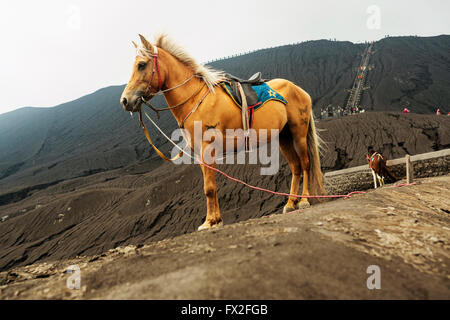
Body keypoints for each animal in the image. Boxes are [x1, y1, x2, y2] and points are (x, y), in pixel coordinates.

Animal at [119, 34, 324, 230]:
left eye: (141, 64)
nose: (125, 100)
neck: (195, 99)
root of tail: (299, 89)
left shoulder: (207, 148)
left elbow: (209, 187)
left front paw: (209, 221)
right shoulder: (200, 153)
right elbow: (210, 186)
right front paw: (215, 220)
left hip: (298, 133)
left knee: (305, 164)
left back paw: (304, 200)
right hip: (283, 137)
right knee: (296, 167)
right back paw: (290, 203)